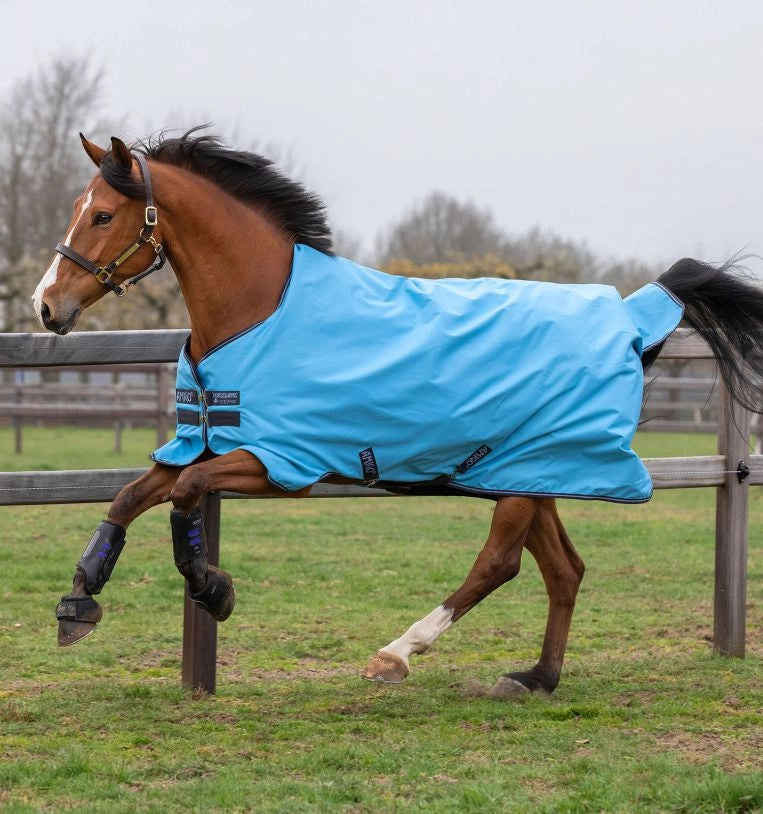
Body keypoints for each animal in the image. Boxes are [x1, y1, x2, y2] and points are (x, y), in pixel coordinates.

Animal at [34, 129, 763, 698]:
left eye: (103, 216)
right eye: (77, 209)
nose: (46, 305)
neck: (260, 309)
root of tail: (631, 317)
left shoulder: (278, 463)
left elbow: (185, 494)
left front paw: (214, 588)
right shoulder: (204, 444)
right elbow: (130, 496)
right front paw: (78, 604)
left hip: (524, 477)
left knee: (499, 563)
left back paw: (396, 654)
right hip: (535, 473)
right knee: (564, 569)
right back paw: (536, 678)